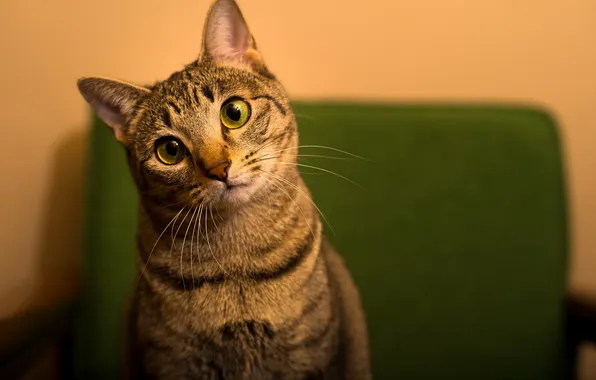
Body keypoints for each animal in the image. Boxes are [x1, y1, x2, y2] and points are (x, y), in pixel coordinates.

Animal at [77, 0, 370, 378]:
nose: (219, 169)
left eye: (234, 112)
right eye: (169, 150)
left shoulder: (308, 356)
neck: (236, 264)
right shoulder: (171, 361)